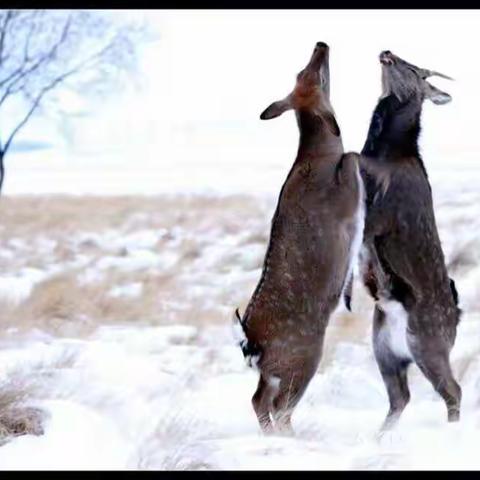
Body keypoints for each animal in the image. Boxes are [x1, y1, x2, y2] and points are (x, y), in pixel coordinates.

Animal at [232, 43, 364, 436]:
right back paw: (289, 437)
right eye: (315, 76)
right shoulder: (344, 194)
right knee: (277, 404)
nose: (321, 45)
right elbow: (353, 155)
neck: (319, 155)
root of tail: (250, 340)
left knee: (258, 398)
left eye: (301, 73)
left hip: (277, 367)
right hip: (303, 356)